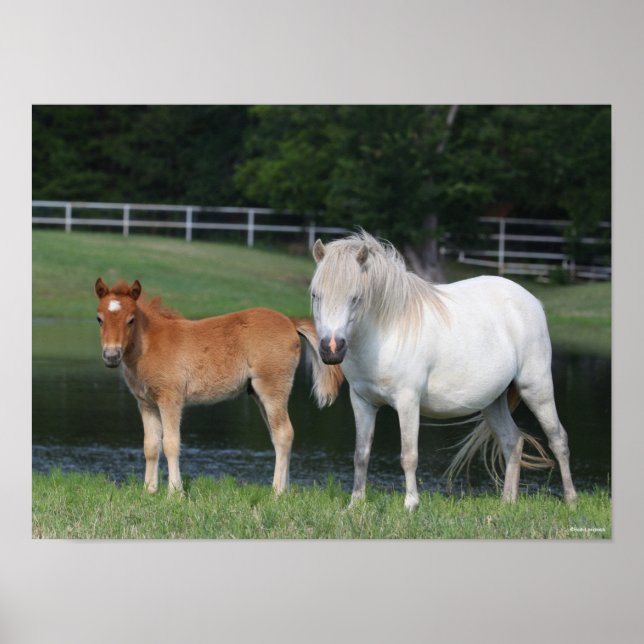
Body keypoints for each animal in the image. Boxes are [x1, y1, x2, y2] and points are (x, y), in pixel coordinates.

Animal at [94, 278, 343, 495]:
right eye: (99, 318)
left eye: (131, 319)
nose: (111, 356)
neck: (149, 344)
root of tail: (290, 322)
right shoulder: (146, 403)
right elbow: (150, 446)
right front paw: (149, 491)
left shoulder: (170, 399)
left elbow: (171, 444)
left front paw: (175, 493)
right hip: (258, 394)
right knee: (278, 436)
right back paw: (287, 490)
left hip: (273, 388)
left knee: (284, 434)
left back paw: (277, 492)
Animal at [310, 231, 577, 511]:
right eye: (316, 295)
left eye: (355, 298)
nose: (331, 348)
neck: (387, 330)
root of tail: (532, 301)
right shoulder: (362, 402)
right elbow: (361, 454)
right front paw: (354, 504)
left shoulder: (407, 402)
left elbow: (409, 455)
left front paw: (411, 505)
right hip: (493, 401)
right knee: (512, 441)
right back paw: (507, 503)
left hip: (536, 387)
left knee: (558, 439)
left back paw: (571, 501)